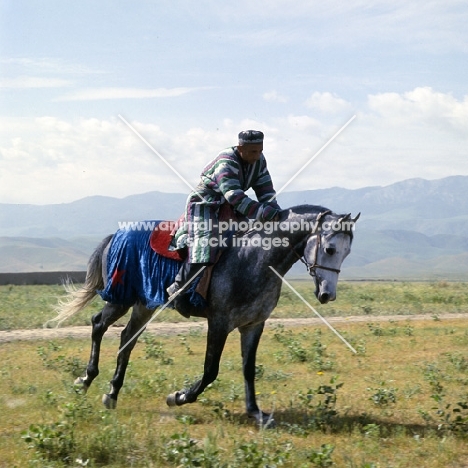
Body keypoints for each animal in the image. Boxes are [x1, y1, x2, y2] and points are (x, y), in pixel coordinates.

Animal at [53, 205, 358, 428]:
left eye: (347, 252)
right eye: (330, 249)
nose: (327, 294)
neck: (254, 257)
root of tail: (115, 235)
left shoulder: (253, 325)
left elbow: (249, 369)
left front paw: (256, 412)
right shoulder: (219, 323)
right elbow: (211, 370)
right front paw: (179, 396)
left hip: (143, 304)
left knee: (127, 338)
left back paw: (112, 392)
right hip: (122, 298)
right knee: (99, 325)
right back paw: (85, 379)